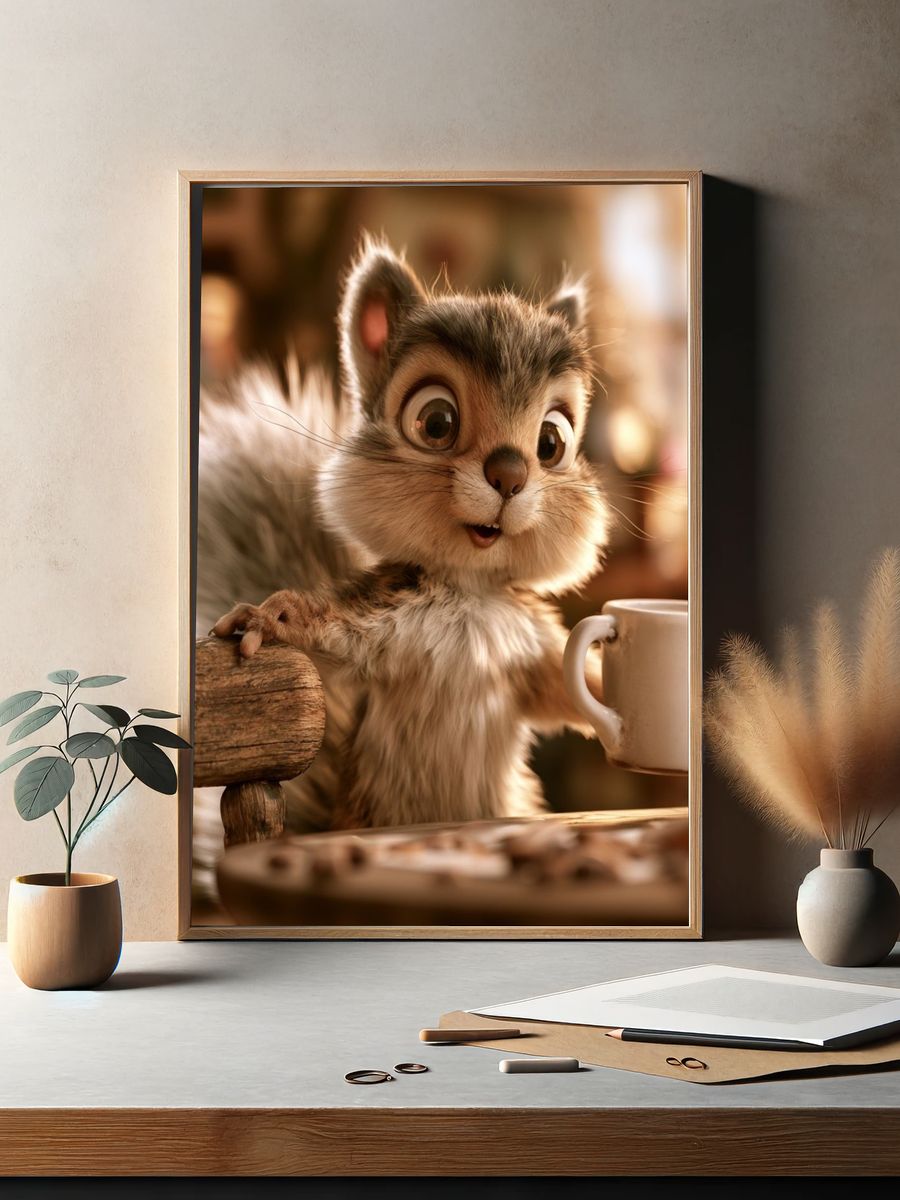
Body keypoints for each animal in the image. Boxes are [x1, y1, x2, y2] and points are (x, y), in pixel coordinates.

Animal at [200, 235, 609, 832]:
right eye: (436, 422)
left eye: (552, 442)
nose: (510, 475)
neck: (470, 595)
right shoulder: (386, 624)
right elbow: (330, 629)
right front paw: (271, 619)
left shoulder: (528, 648)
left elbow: (566, 686)